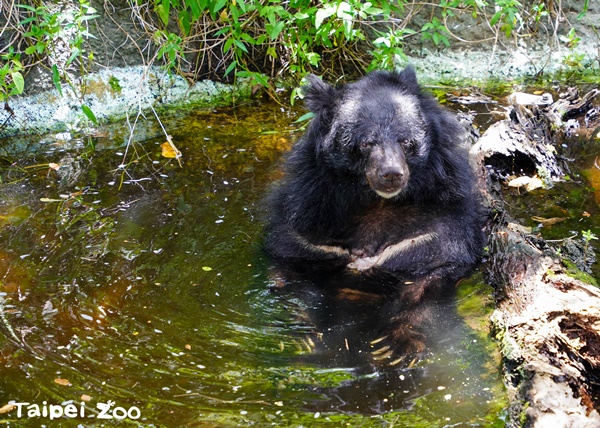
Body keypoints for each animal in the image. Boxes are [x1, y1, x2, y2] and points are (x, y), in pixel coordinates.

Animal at [264, 68, 486, 362]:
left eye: (406, 142)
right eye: (367, 143)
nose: (391, 174)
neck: (377, 203)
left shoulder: (436, 232)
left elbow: (431, 281)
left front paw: (396, 346)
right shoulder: (309, 223)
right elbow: (292, 271)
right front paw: (305, 336)